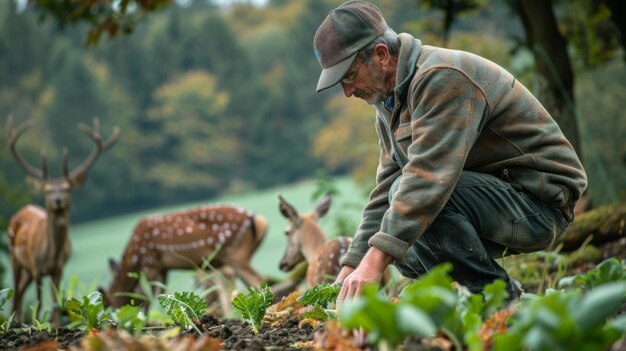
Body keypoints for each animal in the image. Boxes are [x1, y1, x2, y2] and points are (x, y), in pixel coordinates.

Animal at [5, 115, 119, 324]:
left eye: (67, 189)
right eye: (48, 191)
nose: (58, 200)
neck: (50, 255)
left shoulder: (59, 269)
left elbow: (56, 303)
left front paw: (56, 325)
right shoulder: (36, 267)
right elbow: (40, 302)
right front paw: (38, 323)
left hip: (28, 270)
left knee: (20, 291)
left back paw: (17, 320)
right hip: (15, 256)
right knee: (16, 291)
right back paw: (15, 321)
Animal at [101, 204, 266, 316]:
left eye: (107, 303)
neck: (133, 257)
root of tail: (258, 220)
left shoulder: (150, 263)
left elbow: (147, 296)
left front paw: (143, 321)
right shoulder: (163, 269)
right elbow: (158, 293)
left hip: (235, 254)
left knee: (258, 280)